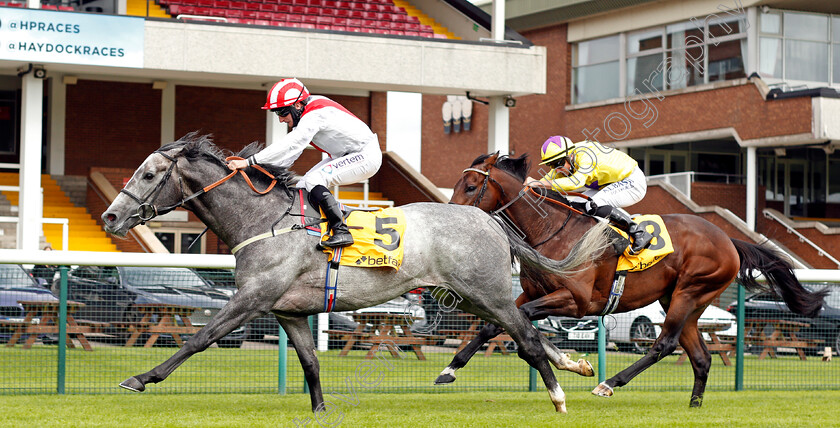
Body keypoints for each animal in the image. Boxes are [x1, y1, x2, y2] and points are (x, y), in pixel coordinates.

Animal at [103, 135, 612, 414]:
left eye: (148, 175)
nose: (110, 218)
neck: (264, 219)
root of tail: (489, 221)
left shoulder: (252, 298)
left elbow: (198, 339)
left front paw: (141, 378)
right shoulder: (288, 312)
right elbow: (310, 362)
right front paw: (321, 408)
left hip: (487, 294)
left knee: (525, 337)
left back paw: (559, 396)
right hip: (472, 297)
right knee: (524, 329)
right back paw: (576, 365)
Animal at [440, 153, 828, 408]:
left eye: (471, 185)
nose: (449, 217)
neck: (550, 231)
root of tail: (728, 240)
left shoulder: (576, 301)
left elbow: (519, 328)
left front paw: (572, 364)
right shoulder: (531, 294)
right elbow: (493, 327)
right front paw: (450, 370)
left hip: (690, 291)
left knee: (664, 343)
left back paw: (610, 384)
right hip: (681, 300)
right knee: (701, 356)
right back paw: (694, 404)